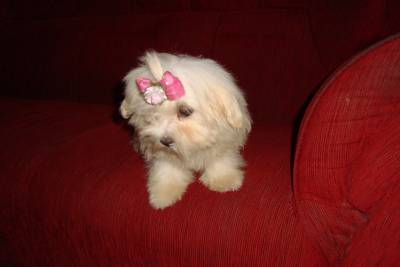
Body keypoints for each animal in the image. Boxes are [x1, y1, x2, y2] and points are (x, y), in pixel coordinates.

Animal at [120, 50, 252, 209]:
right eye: (152, 113)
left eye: (185, 111)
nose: (165, 141)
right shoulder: (163, 152)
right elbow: (167, 167)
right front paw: (164, 191)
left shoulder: (224, 139)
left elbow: (220, 157)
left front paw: (224, 179)